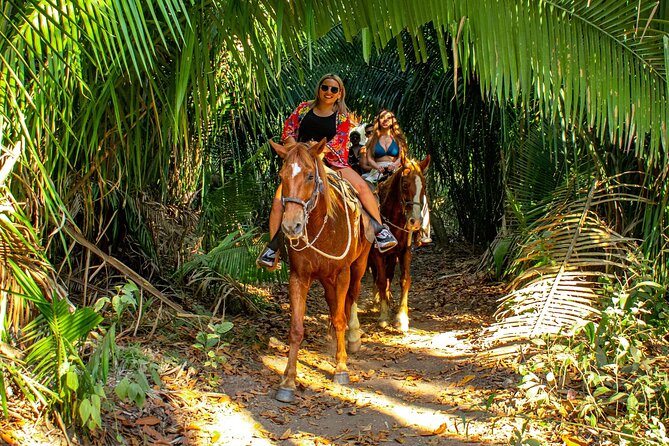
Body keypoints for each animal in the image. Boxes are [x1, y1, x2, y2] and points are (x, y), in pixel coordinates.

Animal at [268, 139, 374, 404]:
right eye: (282, 175)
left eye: (309, 175)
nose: (291, 226)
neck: (322, 227)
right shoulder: (299, 276)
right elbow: (296, 328)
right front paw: (288, 381)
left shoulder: (343, 272)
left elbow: (340, 318)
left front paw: (341, 369)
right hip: (326, 278)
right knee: (334, 301)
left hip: (358, 266)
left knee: (351, 299)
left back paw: (353, 338)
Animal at [368, 155, 430, 332]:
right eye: (404, 185)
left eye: (424, 186)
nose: (415, 222)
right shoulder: (376, 253)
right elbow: (381, 280)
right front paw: (383, 316)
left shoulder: (404, 251)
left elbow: (404, 280)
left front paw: (401, 318)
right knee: (377, 275)